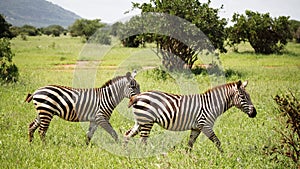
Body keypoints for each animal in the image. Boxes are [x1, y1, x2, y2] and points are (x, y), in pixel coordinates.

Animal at [123, 80, 255, 152]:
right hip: (147, 122)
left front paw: (187, 158)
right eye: (243, 97)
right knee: (143, 141)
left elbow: (190, 144)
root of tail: (138, 96)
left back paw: (126, 153)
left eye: (249, 96)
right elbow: (217, 142)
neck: (211, 105)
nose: (254, 113)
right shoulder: (205, 125)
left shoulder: (196, 128)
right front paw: (224, 156)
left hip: (140, 121)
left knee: (128, 134)